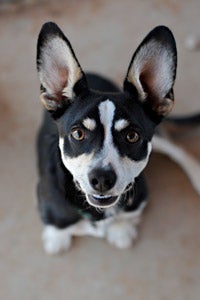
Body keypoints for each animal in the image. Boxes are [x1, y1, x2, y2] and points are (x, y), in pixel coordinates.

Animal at [36, 22, 200, 254]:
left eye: (132, 136)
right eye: (78, 133)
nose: (101, 179)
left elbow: (126, 218)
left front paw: (121, 230)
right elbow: (57, 228)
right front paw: (56, 238)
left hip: (159, 140)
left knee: (176, 147)